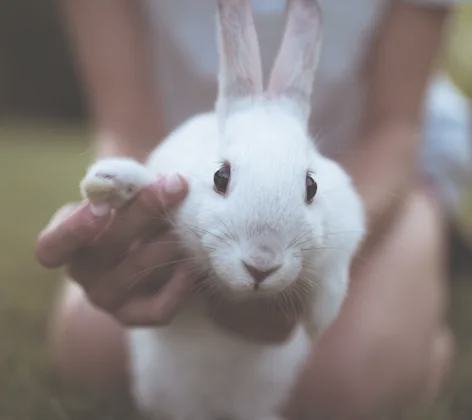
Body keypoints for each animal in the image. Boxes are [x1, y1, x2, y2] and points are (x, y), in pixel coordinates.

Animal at [79, 1, 366, 418]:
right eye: (220, 176)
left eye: (311, 186)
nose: (261, 265)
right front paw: (108, 182)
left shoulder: (347, 224)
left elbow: (334, 274)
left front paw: (319, 320)